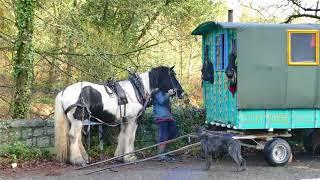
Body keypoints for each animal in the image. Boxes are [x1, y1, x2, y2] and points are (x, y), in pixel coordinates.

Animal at [54, 65, 184, 165]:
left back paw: (84, 157)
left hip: (78, 120)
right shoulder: (133, 120)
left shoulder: (125, 120)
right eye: (172, 76)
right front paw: (130, 157)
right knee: (73, 136)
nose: (181, 92)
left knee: (77, 137)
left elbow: (122, 136)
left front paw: (119, 157)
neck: (137, 89)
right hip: (78, 119)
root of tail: (64, 91)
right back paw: (78, 160)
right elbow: (130, 137)